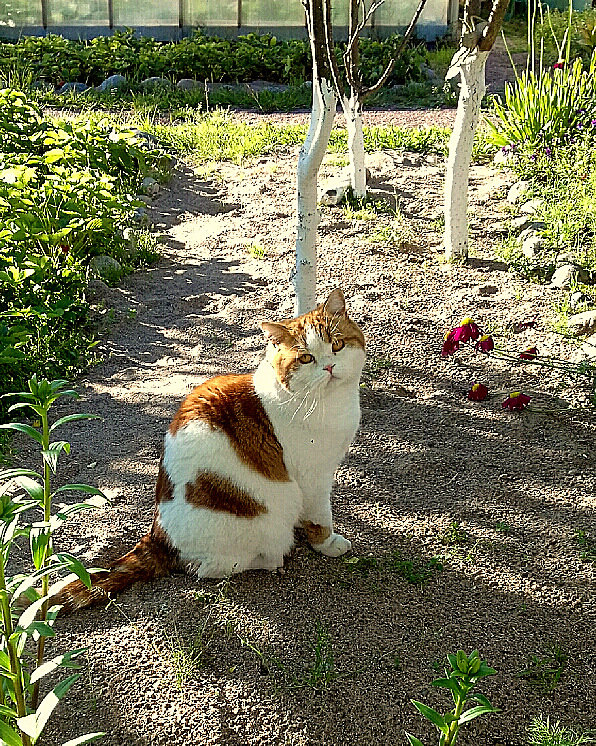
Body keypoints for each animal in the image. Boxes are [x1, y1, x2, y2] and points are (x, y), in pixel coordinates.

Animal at [57, 286, 364, 612]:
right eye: (306, 358)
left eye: (337, 344)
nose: (329, 366)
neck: (331, 403)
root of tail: (158, 537)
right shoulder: (313, 478)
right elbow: (320, 517)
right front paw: (327, 544)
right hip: (261, 524)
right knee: (213, 567)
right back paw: (273, 556)